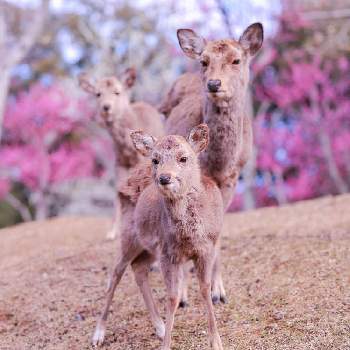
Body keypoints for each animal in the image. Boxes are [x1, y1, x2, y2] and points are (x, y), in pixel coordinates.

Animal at [78, 67, 164, 239]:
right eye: (98, 94)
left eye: (117, 92)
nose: (106, 107)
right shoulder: (118, 163)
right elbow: (118, 191)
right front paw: (112, 232)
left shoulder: (142, 160)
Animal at [91, 123, 224, 350]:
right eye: (155, 159)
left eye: (183, 158)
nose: (164, 177)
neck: (189, 236)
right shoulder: (168, 254)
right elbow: (172, 297)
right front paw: (167, 345)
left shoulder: (207, 248)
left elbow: (205, 289)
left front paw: (216, 342)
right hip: (129, 237)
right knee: (115, 274)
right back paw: (98, 334)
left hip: (149, 248)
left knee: (138, 268)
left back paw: (160, 328)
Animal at [159, 22, 262, 304]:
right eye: (204, 61)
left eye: (236, 60)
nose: (214, 83)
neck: (217, 162)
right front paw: (183, 294)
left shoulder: (231, 178)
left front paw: (218, 292)